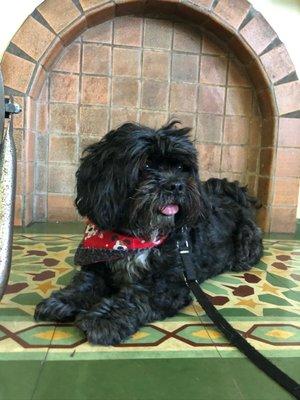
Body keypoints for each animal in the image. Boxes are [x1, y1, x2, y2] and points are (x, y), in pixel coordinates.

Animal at [35, 122, 262, 344]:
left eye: (180, 167)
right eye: (146, 164)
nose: (176, 185)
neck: (133, 237)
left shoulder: (169, 284)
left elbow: (135, 297)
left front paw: (105, 318)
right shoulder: (98, 269)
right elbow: (83, 285)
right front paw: (61, 301)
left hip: (247, 238)